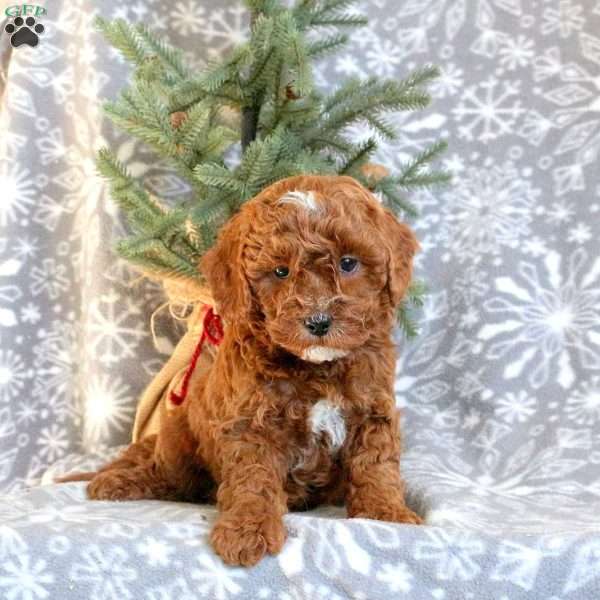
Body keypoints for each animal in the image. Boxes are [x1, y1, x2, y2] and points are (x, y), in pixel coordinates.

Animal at [78, 175, 422, 568]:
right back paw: (116, 483)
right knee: (166, 474)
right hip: (178, 440)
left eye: (348, 263)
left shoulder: (372, 412)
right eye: (281, 272)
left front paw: (386, 514)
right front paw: (247, 532)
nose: (318, 321)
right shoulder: (251, 422)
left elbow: (376, 466)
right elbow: (253, 481)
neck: (316, 368)